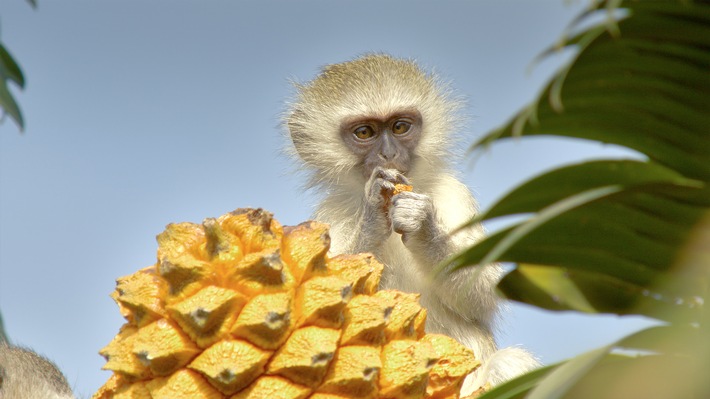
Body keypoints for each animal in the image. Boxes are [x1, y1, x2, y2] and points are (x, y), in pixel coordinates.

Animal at [288, 54, 540, 394]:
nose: (389, 154)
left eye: (400, 126)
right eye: (364, 132)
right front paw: (372, 216)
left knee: (510, 363)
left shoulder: (453, 192)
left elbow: (483, 292)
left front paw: (422, 227)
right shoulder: (330, 212)